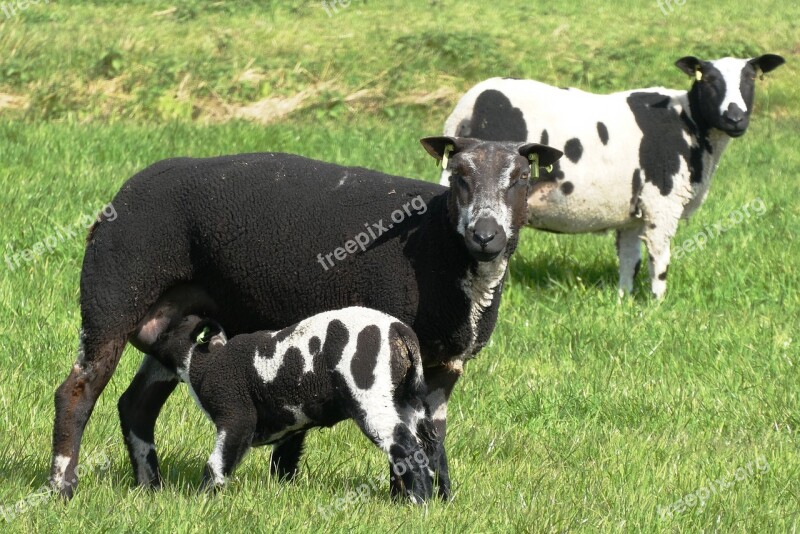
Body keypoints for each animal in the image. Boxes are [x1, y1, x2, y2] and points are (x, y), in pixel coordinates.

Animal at [140, 308, 434, 504]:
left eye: (167, 330)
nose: (141, 332)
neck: (203, 365)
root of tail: (401, 332)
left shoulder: (237, 416)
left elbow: (217, 464)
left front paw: (201, 501)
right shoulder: (290, 426)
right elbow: (282, 464)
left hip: (371, 399)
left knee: (406, 448)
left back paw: (418, 502)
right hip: (408, 401)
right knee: (428, 448)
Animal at [440, 53, 784, 302]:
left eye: (750, 78)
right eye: (710, 79)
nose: (735, 118)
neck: (690, 124)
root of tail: (465, 109)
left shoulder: (633, 210)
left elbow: (630, 259)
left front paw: (624, 301)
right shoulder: (662, 202)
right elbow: (659, 258)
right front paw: (657, 305)